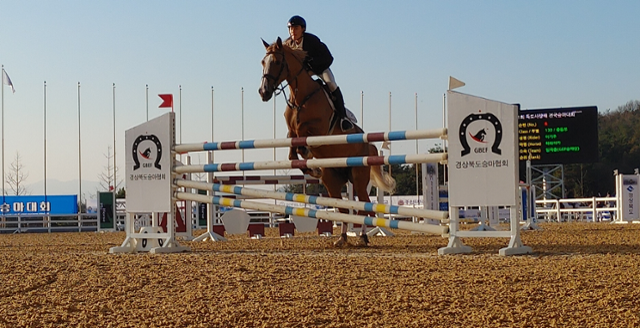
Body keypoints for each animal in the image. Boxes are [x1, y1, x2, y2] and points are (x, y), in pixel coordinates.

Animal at [258, 36, 396, 246]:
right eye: (263, 62)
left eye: (277, 62)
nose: (263, 92)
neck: (300, 97)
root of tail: (370, 146)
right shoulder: (292, 132)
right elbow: (293, 151)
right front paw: (312, 168)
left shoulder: (319, 130)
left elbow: (303, 138)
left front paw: (309, 159)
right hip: (332, 180)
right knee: (343, 209)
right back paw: (342, 238)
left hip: (358, 176)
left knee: (364, 206)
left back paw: (363, 237)